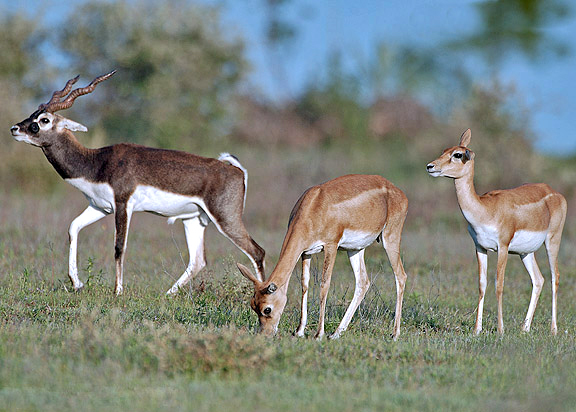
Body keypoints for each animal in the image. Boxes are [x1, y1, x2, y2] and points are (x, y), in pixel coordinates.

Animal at [9, 71, 266, 296]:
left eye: (44, 120)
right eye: (33, 114)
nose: (14, 128)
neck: (97, 162)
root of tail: (235, 170)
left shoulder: (123, 205)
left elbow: (119, 247)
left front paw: (118, 291)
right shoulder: (100, 207)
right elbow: (73, 228)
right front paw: (77, 283)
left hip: (226, 219)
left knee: (257, 252)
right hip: (194, 220)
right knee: (198, 261)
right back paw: (167, 294)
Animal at [236, 174, 408, 338]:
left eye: (267, 309)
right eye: (253, 305)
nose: (265, 334)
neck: (313, 207)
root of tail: (398, 191)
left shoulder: (331, 246)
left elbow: (324, 285)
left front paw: (319, 334)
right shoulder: (306, 252)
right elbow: (305, 284)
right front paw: (299, 331)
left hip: (390, 239)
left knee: (401, 276)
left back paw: (395, 334)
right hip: (355, 249)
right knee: (363, 282)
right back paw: (336, 333)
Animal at [428, 129, 568, 334]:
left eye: (458, 154)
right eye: (444, 150)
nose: (430, 166)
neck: (485, 209)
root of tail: (555, 192)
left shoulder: (502, 247)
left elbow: (499, 285)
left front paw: (500, 329)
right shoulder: (479, 247)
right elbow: (482, 285)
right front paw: (477, 330)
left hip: (552, 241)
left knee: (554, 277)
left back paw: (553, 330)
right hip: (526, 252)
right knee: (538, 279)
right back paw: (524, 328)